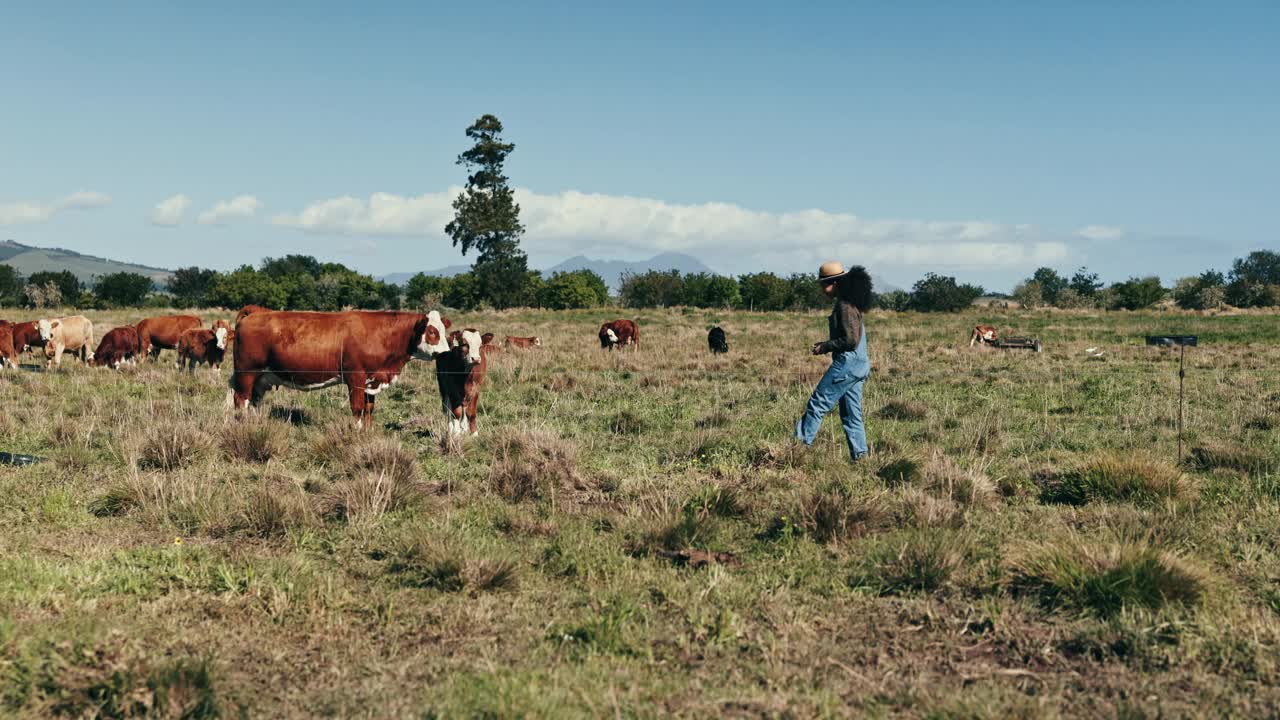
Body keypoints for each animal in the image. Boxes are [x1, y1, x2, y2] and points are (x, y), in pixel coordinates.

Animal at [230, 304, 450, 422]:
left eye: (443, 330)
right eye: (432, 331)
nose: (445, 353)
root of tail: (257, 311)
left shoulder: (371, 381)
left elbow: (369, 409)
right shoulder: (356, 378)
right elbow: (358, 408)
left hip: (261, 376)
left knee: (254, 400)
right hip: (247, 372)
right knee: (241, 399)